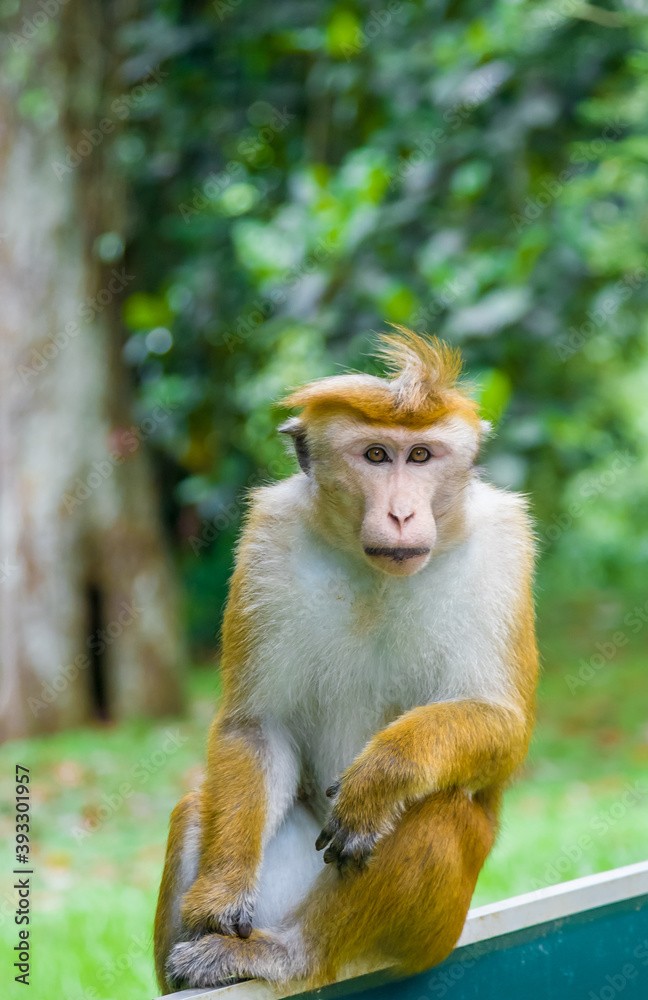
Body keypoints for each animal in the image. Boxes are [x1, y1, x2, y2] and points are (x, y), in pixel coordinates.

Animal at [154, 327, 538, 993]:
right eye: (377, 456)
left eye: (421, 456)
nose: (402, 513)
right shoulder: (269, 539)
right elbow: (257, 725)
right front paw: (219, 895)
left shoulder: (504, 549)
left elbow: (503, 722)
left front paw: (381, 775)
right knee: (196, 805)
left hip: (432, 934)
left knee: (441, 811)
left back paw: (284, 954)